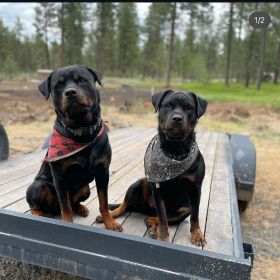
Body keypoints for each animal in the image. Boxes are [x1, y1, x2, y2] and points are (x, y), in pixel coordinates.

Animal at [26, 64, 121, 231]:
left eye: (82, 80)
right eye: (58, 85)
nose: (70, 92)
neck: (82, 132)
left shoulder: (103, 171)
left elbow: (103, 202)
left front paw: (109, 222)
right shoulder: (60, 177)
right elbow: (65, 207)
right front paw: (67, 224)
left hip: (85, 188)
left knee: (73, 202)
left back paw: (81, 208)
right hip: (39, 186)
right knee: (38, 205)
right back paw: (38, 214)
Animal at [96, 90, 208, 245]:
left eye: (189, 107)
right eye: (168, 105)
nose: (177, 118)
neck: (175, 151)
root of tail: (143, 208)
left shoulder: (196, 188)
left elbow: (195, 215)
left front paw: (196, 234)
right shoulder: (157, 189)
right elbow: (163, 217)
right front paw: (164, 238)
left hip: (184, 209)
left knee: (153, 217)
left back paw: (152, 227)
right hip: (139, 183)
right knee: (125, 206)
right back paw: (110, 216)